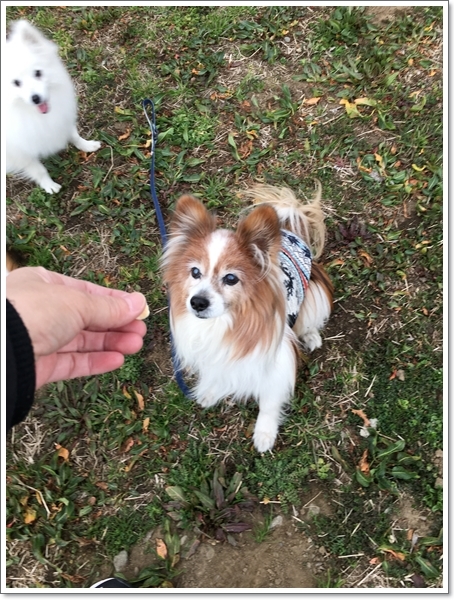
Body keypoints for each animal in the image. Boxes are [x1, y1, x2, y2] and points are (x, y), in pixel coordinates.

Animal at [162, 185, 334, 452]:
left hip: (315, 298)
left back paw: (311, 336)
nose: (197, 302)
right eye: (195, 272)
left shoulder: (278, 362)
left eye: (231, 278)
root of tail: (289, 232)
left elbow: (269, 402)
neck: (226, 323)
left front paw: (265, 434)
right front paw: (211, 392)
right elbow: (218, 373)